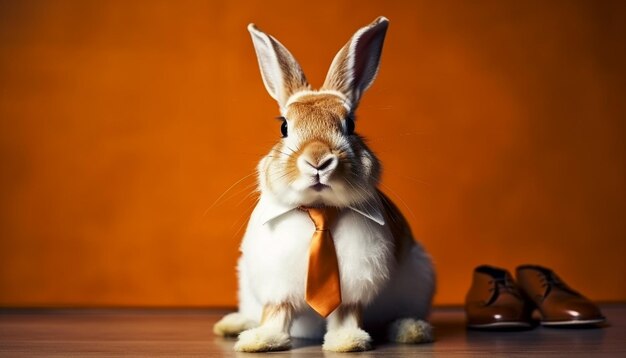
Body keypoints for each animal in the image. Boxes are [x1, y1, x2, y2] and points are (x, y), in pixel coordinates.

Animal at [211, 16, 434, 352]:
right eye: (284, 127)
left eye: (350, 124)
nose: (318, 160)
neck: (320, 210)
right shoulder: (276, 284)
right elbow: (277, 311)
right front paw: (261, 341)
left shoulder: (355, 282)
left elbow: (345, 312)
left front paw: (347, 342)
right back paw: (231, 325)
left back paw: (411, 330)